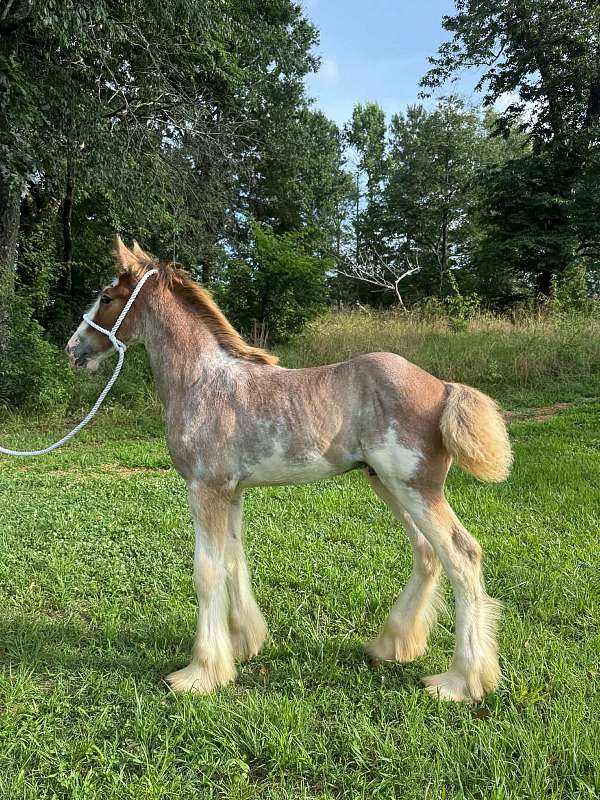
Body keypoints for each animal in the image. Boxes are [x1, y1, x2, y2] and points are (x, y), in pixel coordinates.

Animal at [65, 237, 512, 702]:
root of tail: (443, 388)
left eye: (106, 298)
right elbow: (233, 560)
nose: (73, 349)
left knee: (462, 554)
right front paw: (242, 645)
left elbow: (206, 572)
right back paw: (392, 645)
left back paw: (461, 681)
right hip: (388, 484)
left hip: (415, 487)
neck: (204, 382)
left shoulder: (205, 489)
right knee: (428, 553)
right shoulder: (232, 492)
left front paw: (200, 673)